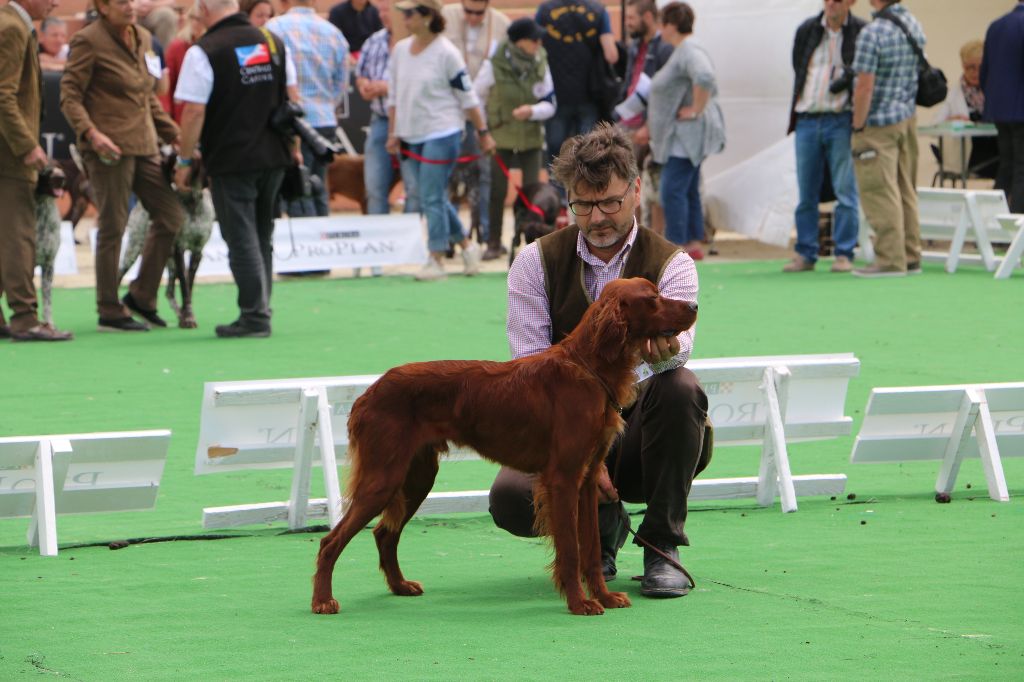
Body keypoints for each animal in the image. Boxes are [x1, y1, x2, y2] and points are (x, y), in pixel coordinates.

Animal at [307, 276, 700, 614]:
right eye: (652, 299)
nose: (695, 304)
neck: (590, 367)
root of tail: (367, 394)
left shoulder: (588, 480)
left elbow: (589, 548)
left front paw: (603, 596)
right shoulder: (562, 478)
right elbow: (571, 550)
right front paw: (580, 604)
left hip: (416, 476)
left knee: (384, 534)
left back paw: (400, 586)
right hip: (384, 476)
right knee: (331, 541)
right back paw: (323, 601)